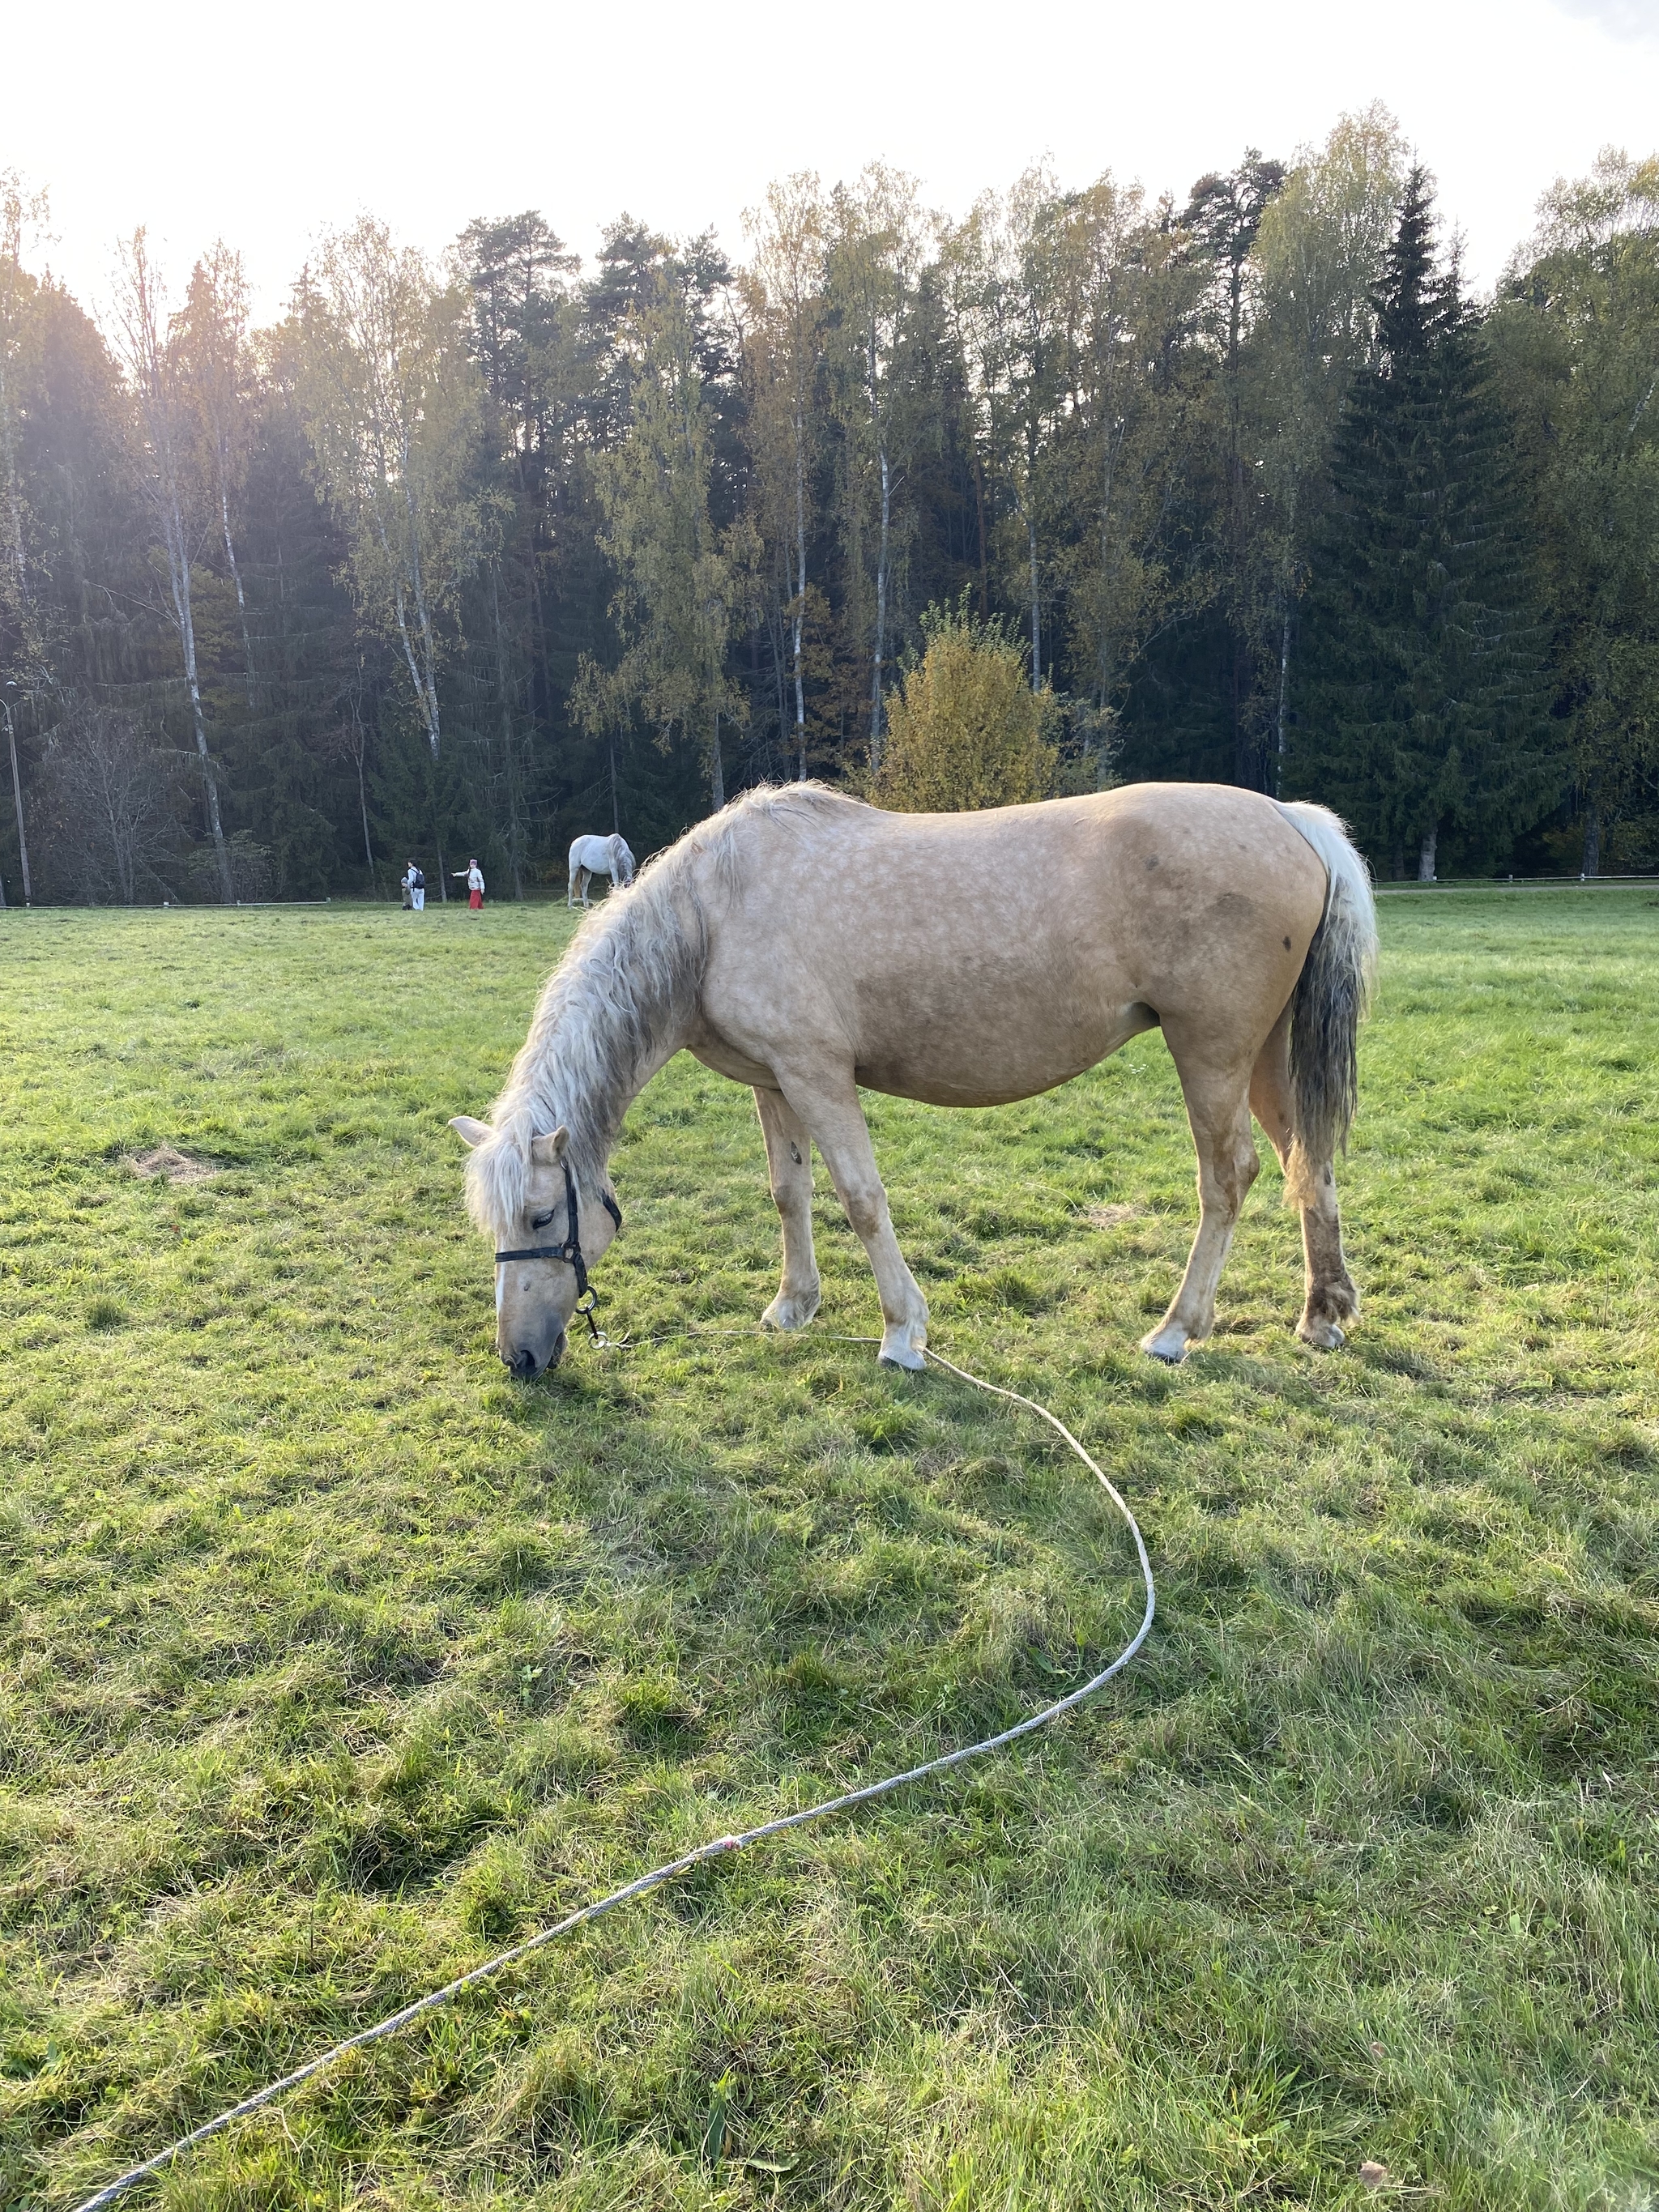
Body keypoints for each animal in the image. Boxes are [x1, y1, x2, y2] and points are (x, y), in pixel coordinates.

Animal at [455, 791, 1380, 1380]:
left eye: (541, 1217)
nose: (519, 1359)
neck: (713, 915)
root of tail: (1290, 820)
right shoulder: (774, 1082)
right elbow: (788, 1194)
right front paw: (792, 1306)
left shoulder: (818, 1075)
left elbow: (862, 1199)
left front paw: (901, 1333)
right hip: (1262, 1056)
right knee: (1308, 1161)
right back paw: (1322, 1313)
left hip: (1210, 1053)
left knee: (1229, 1178)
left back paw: (1175, 1332)